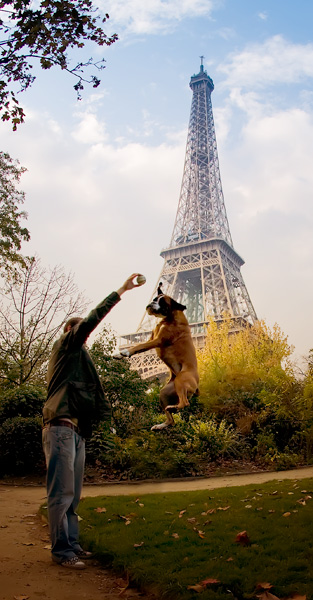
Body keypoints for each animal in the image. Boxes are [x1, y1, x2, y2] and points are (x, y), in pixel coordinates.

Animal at [114, 282, 197, 428]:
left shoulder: (158, 341)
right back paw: (161, 424)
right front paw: (120, 355)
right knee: (172, 420)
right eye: (155, 299)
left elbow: (138, 346)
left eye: (163, 303)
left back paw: (173, 408)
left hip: (181, 380)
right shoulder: (151, 339)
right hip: (164, 392)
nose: (152, 303)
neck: (167, 318)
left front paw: (125, 352)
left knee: (185, 403)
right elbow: (138, 346)